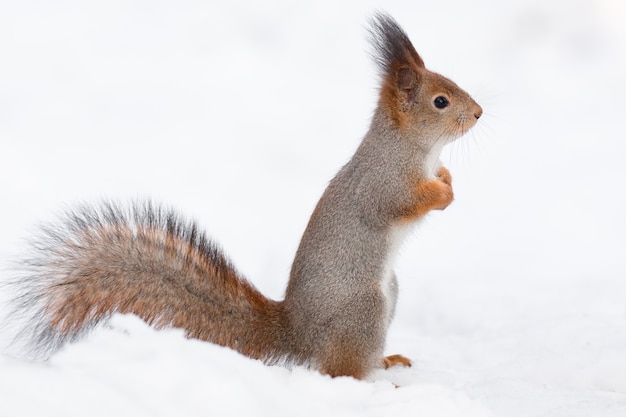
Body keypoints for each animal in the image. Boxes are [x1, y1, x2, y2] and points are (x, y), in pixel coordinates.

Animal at [7, 13, 480, 378]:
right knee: (337, 369)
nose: (478, 113)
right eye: (440, 101)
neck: (414, 148)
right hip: (363, 309)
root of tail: (296, 335)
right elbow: (402, 203)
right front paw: (442, 195)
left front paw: (448, 179)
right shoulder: (383, 183)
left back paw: (388, 361)